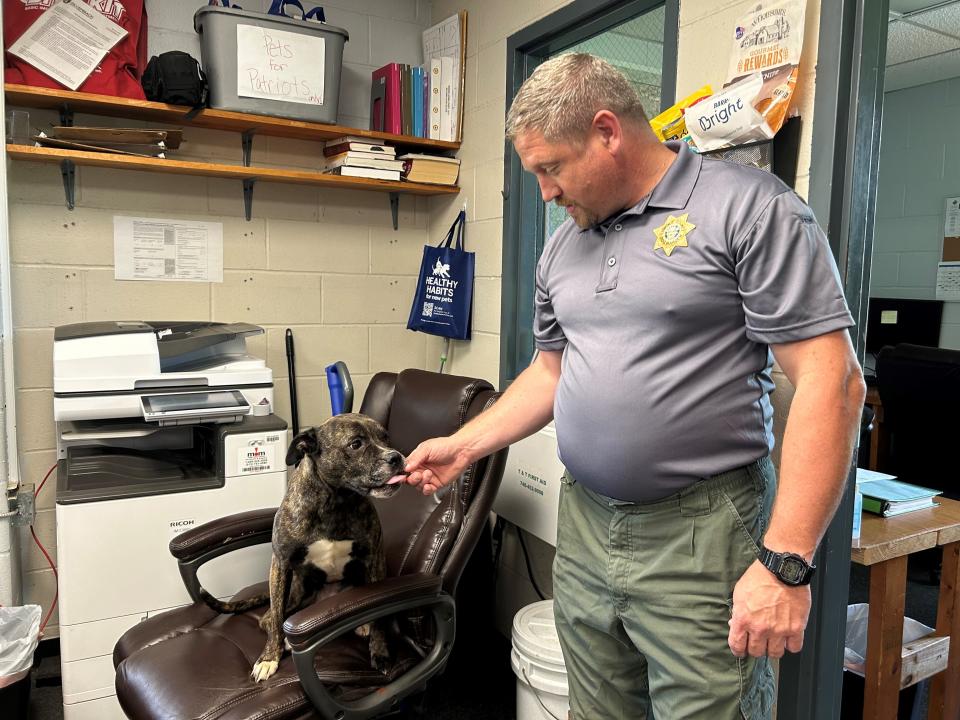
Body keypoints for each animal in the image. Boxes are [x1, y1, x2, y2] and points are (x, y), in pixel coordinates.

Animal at [202, 414, 404, 684]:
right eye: (356, 444)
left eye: (386, 438)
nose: (396, 457)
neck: (336, 500)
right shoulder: (281, 563)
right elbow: (277, 617)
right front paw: (269, 657)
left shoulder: (374, 560)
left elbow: (379, 616)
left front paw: (380, 652)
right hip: (295, 593)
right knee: (270, 618)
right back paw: (285, 641)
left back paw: (361, 625)